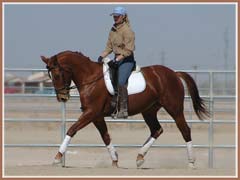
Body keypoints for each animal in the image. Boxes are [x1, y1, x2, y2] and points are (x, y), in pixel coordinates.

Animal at [40, 50, 208, 168]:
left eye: (57, 74)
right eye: (50, 75)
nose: (62, 98)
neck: (90, 78)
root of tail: (173, 73)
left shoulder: (91, 113)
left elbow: (72, 130)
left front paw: (57, 157)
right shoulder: (96, 116)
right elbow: (106, 137)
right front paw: (115, 160)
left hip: (174, 108)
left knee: (185, 130)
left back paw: (191, 162)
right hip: (149, 111)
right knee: (156, 130)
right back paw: (140, 158)